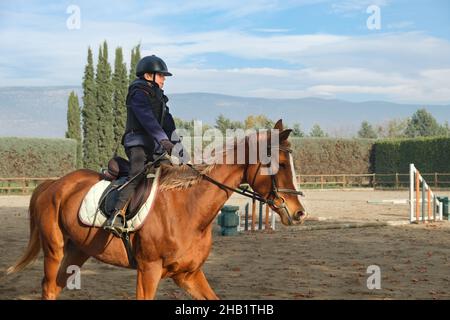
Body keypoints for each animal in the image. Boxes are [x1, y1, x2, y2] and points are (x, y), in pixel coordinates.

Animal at [7, 119, 308, 298]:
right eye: (280, 164)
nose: (299, 213)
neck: (188, 209)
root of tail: (54, 184)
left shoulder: (188, 275)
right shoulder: (148, 271)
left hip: (79, 249)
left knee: (57, 285)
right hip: (54, 249)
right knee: (48, 286)